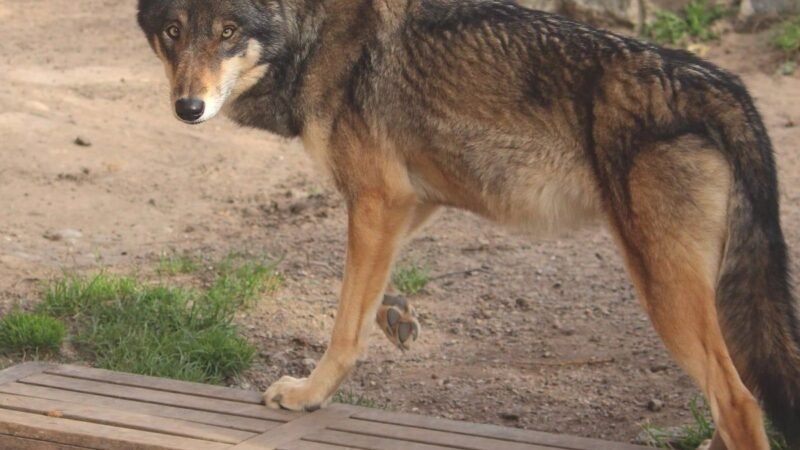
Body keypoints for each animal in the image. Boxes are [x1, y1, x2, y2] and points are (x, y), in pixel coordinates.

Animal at [138, 1, 800, 448]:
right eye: (174, 31)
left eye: (227, 32)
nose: (188, 108)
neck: (315, 32)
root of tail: (723, 85)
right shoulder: (415, 198)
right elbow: (362, 292)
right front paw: (395, 314)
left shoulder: (377, 198)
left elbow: (344, 327)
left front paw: (307, 394)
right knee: (734, 399)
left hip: (665, 293)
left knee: (739, 402)